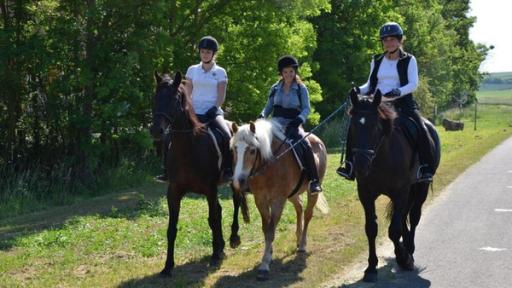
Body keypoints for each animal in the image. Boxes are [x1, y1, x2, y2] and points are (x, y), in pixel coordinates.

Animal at [149, 72, 249, 276]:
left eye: (174, 99)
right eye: (155, 97)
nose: (156, 130)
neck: (189, 148)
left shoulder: (210, 189)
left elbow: (212, 219)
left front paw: (215, 255)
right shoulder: (174, 191)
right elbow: (172, 228)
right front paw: (168, 266)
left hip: (232, 181)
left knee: (235, 203)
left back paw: (233, 238)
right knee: (219, 210)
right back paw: (221, 245)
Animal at [231, 118, 330, 280]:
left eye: (252, 150)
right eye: (234, 149)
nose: (238, 181)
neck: (270, 165)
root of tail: (318, 140)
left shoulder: (278, 200)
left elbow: (271, 230)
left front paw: (265, 264)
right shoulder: (261, 200)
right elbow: (266, 229)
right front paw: (269, 255)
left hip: (312, 191)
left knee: (308, 214)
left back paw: (302, 244)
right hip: (292, 195)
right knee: (299, 207)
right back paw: (298, 239)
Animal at [350, 89, 442, 282]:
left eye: (375, 126)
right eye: (353, 126)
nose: (361, 165)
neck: (382, 156)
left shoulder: (401, 192)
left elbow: (393, 230)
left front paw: (403, 258)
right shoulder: (366, 194)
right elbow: (371, 228)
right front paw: (371, 267)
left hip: (420, 188)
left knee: (413, 216)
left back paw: (409, 248)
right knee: (404, 216)